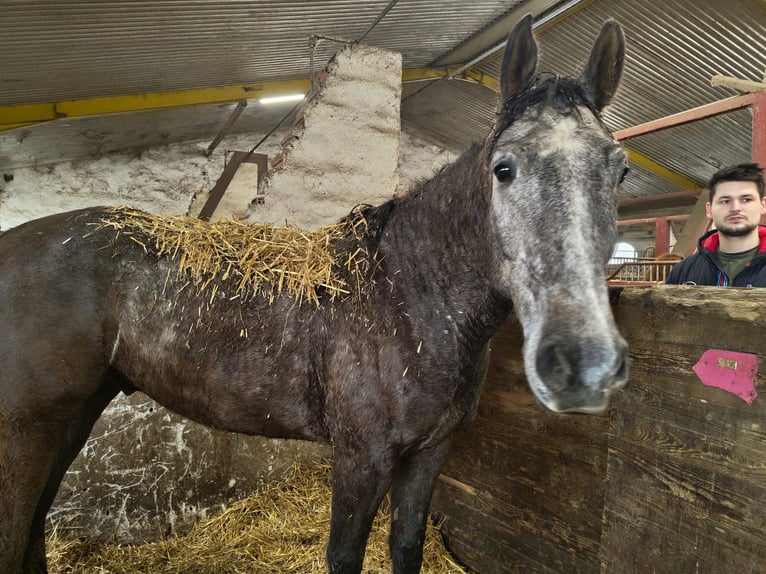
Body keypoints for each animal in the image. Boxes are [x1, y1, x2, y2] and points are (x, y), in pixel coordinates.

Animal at [0, 15, 628, 574]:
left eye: (618, 172)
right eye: (504, 168)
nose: (584, 362)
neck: (412, 295)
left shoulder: (429, 455)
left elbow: (406, 546)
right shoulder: (362, 458)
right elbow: (345, 556)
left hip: (73, 417)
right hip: (27, 429)